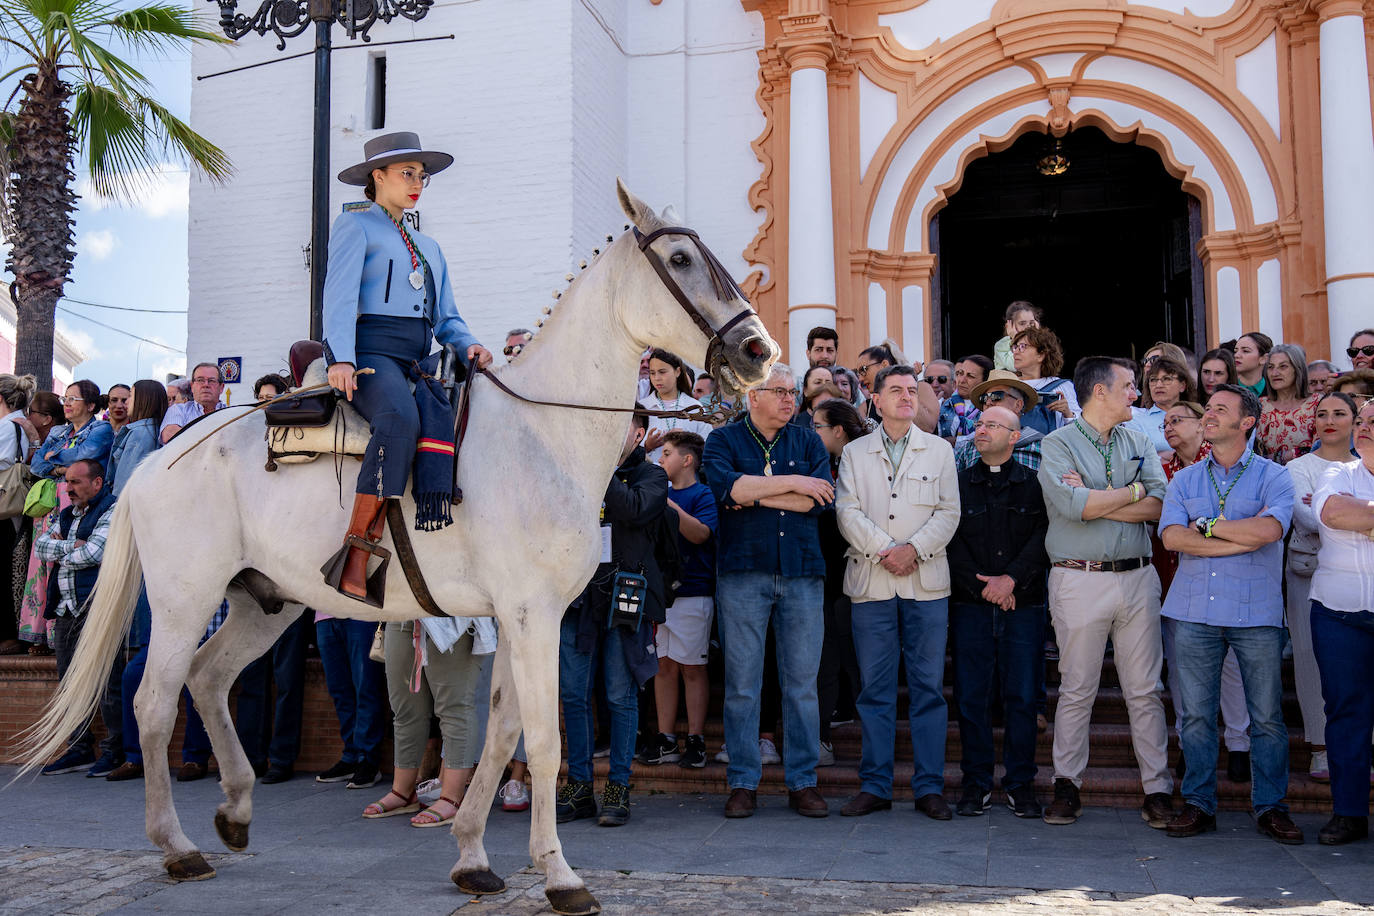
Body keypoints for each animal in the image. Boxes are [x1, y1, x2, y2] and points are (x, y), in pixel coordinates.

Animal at [18, 181, 774, 916]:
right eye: (680, 260)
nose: (758, 350)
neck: (541, 434)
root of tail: (156, 461)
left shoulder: (521, 620)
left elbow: (501, 732)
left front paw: (471, 855)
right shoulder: (532, 616)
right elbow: (544, 740)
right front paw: (559, 876)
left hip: (266, 603)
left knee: (206, 680)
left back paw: (234, 811)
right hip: (185, 600)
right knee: (154, 701)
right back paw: (176, 845)